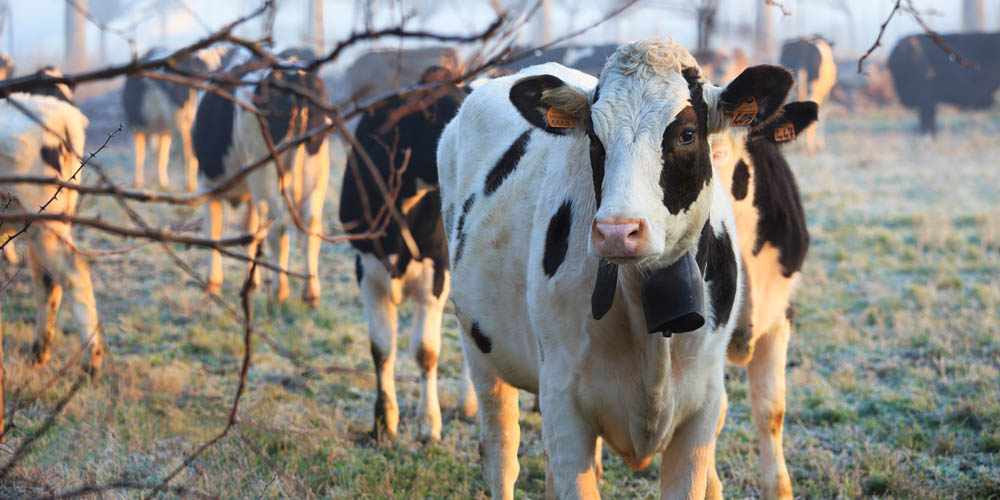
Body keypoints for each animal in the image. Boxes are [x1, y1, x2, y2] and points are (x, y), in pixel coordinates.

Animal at [124, 47, 228, 191]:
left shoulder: (136, 125)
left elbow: (141, 153)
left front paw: (138, 183)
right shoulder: (161, 128)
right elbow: (159, 154)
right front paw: (161, 182)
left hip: (180, 122)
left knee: (185, 153)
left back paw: (190, 185)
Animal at [338, 66, 474, 442]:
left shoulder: (437, 272)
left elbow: (425, 351)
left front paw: (429, 424)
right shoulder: (366, 269)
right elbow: (381, 347)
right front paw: (384, 420)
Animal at [442, 40, 792, 500]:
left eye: (686, 134)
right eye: (594, 138)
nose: (616, 232)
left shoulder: (702, 412)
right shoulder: (564, 406)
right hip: (481, 350)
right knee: (501, 452)